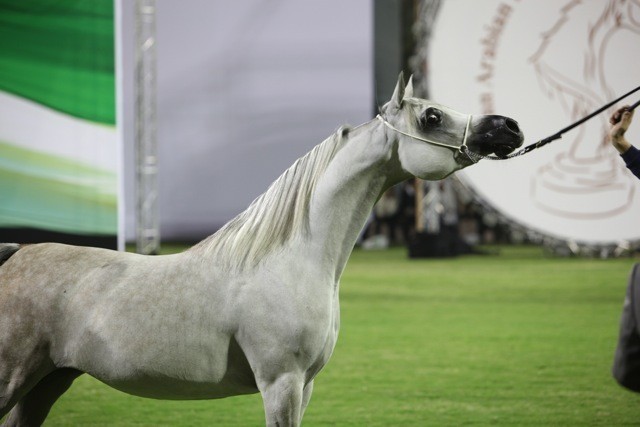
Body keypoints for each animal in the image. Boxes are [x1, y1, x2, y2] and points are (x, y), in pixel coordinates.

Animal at [0, 73, 523, 426]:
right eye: (431, 116)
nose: (509, 128)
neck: (290, 261)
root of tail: (14, 254)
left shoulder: (304, 386)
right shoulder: (280, 383)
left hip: (45, 384)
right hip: (14, 379)